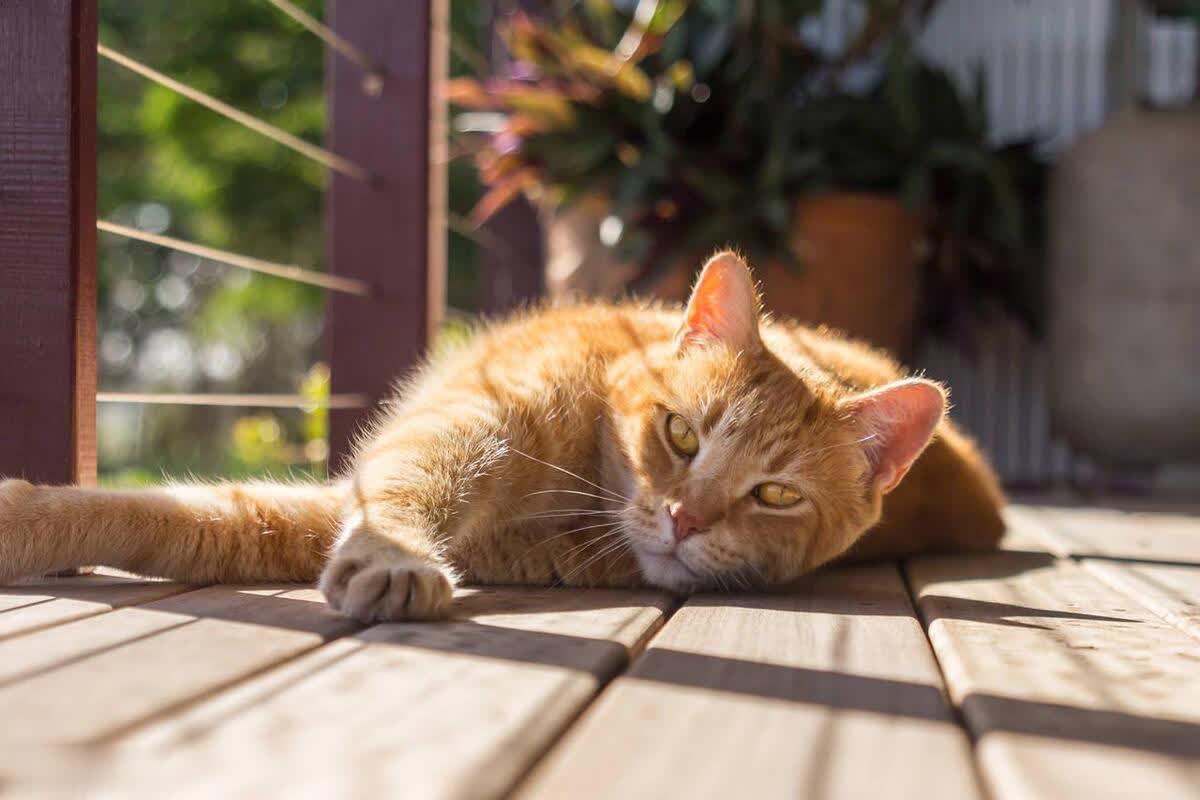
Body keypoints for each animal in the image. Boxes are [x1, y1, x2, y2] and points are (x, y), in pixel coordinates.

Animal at [0, 252, 1005, 621]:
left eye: (776, 494)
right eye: (681, 434)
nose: (686, 518)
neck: (576, 480)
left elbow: (196, 519)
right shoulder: (457, 435)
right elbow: (155, 512)